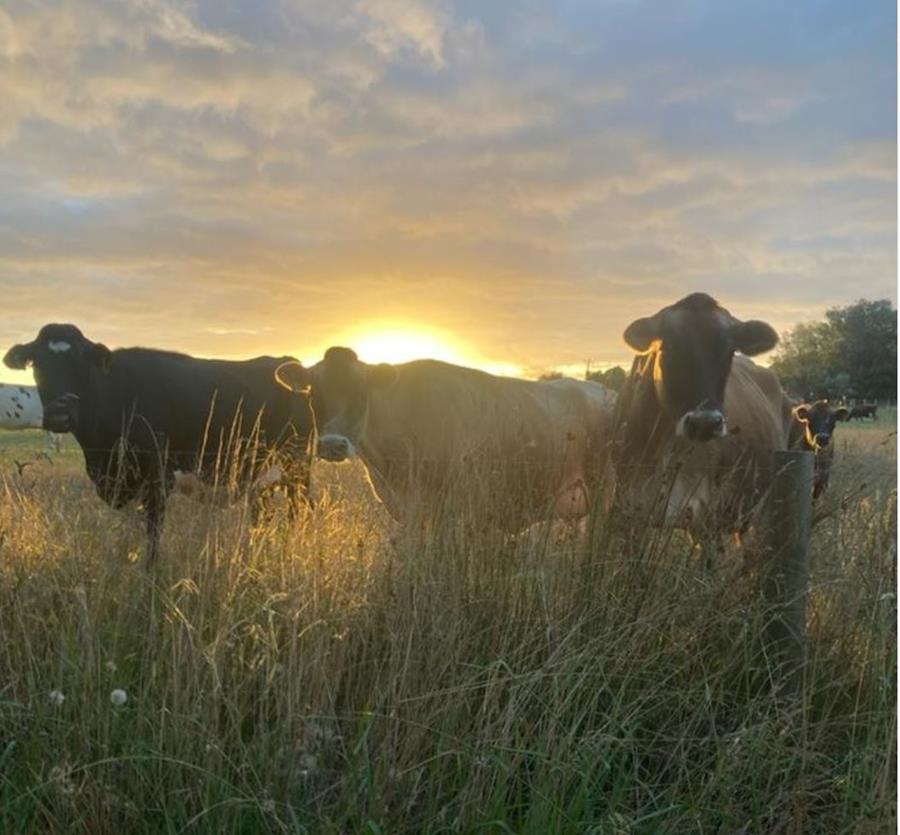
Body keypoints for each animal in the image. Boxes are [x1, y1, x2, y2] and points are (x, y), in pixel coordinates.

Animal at [4, 324, 312, 564]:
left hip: (296, 467)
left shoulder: (157, 478)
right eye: (36, 364)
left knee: (301, 511)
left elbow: (153, 537)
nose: (60, 415)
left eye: (81, 364)